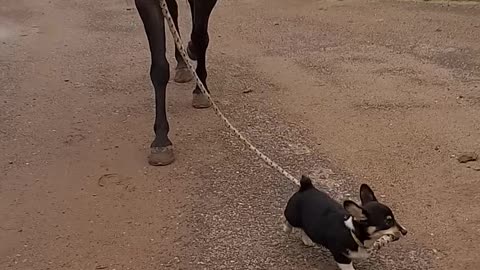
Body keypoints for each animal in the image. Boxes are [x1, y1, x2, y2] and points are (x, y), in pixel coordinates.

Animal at [135, 0, 218, 166]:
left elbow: (200, 37)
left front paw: (201, 91)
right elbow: (159, 68)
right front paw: (161, 141)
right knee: (173, 10)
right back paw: (182, 62)